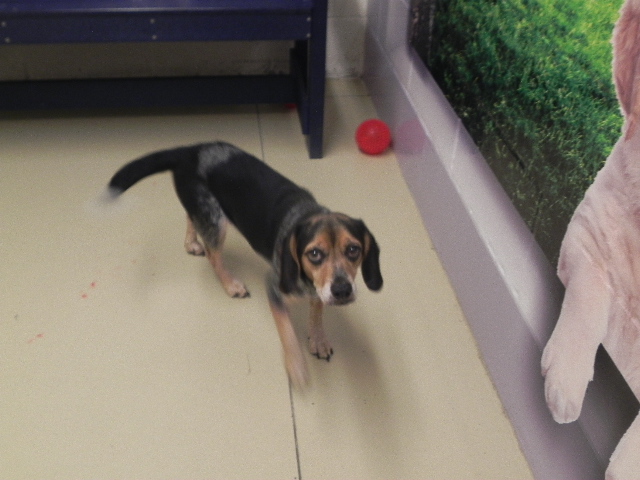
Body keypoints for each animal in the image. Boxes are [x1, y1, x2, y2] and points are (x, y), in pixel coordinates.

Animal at [107, 142, 383, 388]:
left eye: (354, 250)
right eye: (314, 253)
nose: (342, 290)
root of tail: (189, 150)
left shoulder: (319, 290)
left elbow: (317, 313)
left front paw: (319, 341)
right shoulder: (274, 287)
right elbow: (288, 333)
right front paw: (296, 367)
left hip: (205, 211)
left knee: (190, 217)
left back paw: (191, 242)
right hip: (217, 221)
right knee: (213, 255)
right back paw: (231, 284)